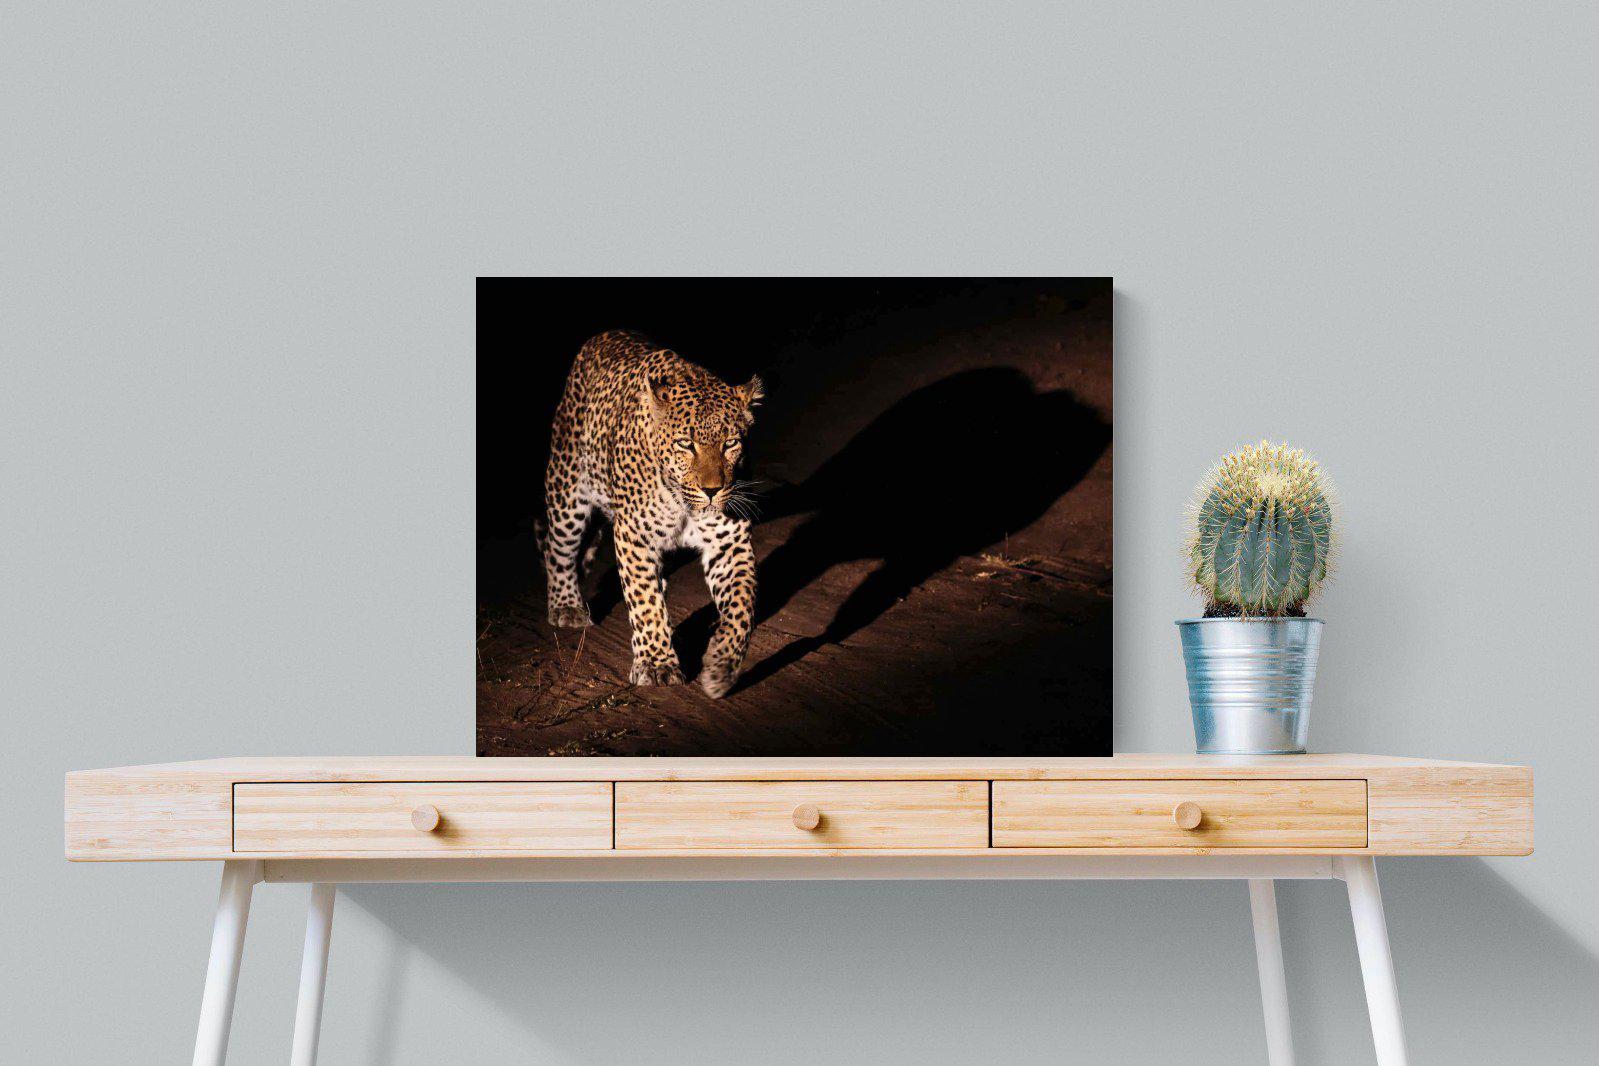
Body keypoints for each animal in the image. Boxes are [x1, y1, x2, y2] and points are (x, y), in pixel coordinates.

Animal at [542, 329, 763, 698]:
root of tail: (605, 334)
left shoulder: (729, 542)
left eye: (731, 443)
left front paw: (721, 666)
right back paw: (566, 607)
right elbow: (644, 602)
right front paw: (657, 665)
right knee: (557, 549)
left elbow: (741, 606)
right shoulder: (635, 536)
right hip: (566, 491)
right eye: (686, 444)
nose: (713, 490)